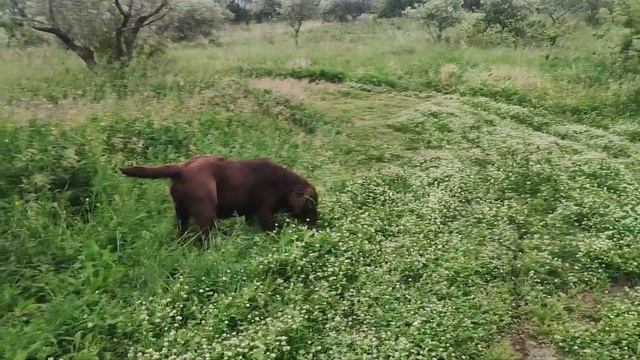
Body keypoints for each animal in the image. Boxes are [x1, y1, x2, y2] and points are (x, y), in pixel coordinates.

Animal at [119, 155, 318, 245]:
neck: (284, 184)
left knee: (182, 231)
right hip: (206, 211)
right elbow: (274, 229)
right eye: (311, 206)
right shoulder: (265, 213)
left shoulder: (251, 214)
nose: (317, 226)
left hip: (181, 212)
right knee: (205, 238)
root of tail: (182, 169)